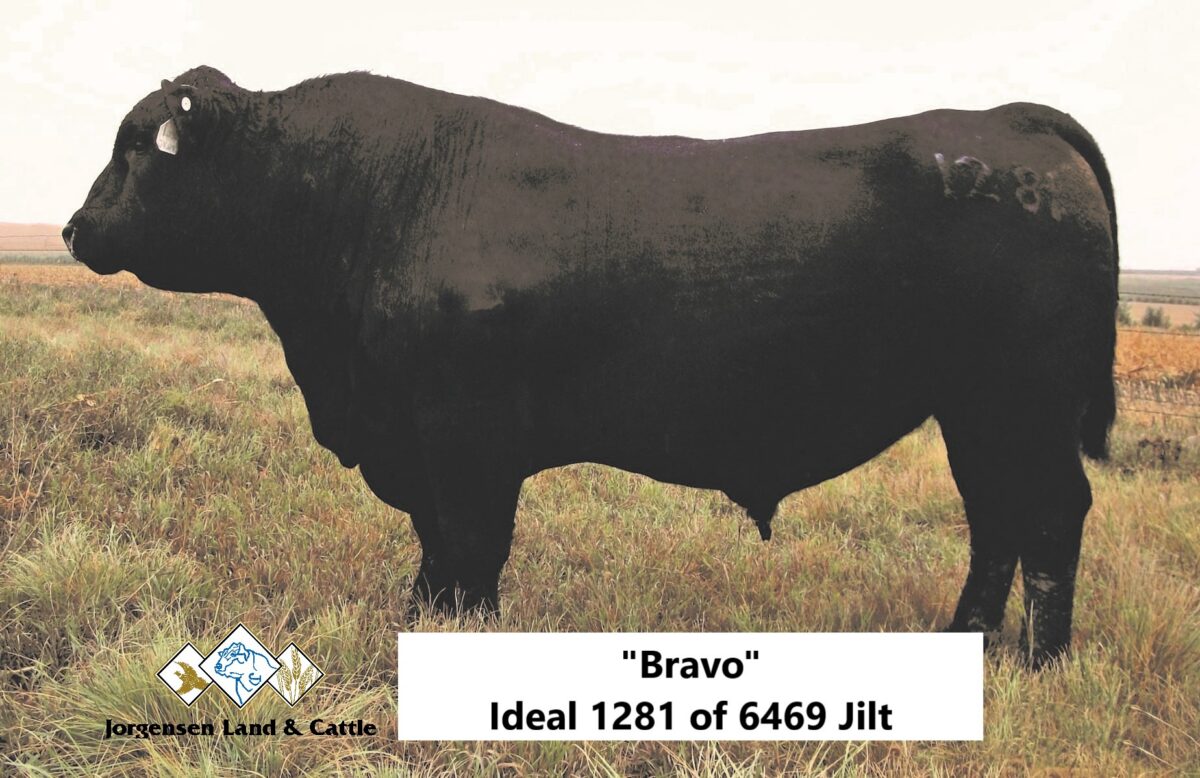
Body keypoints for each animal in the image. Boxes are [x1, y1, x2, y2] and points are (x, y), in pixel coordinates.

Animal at [64, 66, 1118, 668]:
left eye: (135, 148)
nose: (72, 228)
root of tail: (1008, 121)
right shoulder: (414, 436)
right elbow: (435, 550)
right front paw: (422, 616)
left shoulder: (464, 434)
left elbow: (469, 544)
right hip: (975, 411)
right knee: (996, 519)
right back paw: (963, 643)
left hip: (1022, 402)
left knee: (1048, 516)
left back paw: (1039, 665)